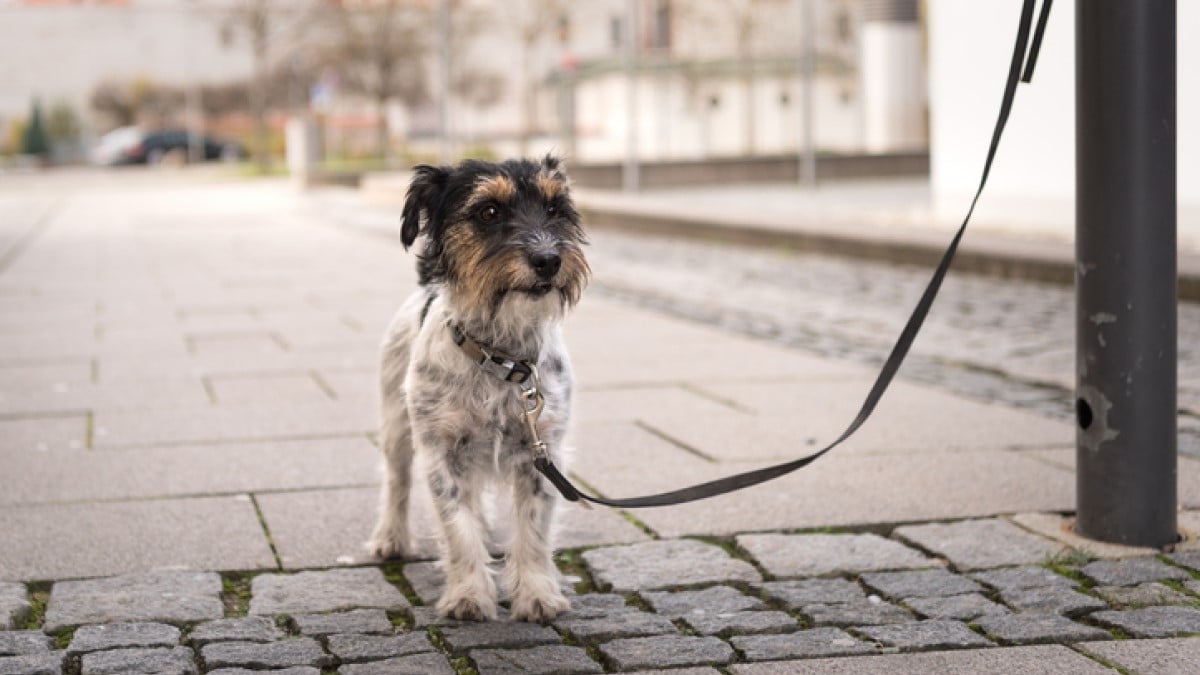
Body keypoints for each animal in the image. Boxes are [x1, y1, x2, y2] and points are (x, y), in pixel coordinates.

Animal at [367, 153, 588, 619]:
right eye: (488, 211)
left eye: (555, 208)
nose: (548, 259)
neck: (500, 357)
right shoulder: (441, 453)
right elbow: (458, 527)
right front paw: (468, 595)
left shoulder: (543, 454)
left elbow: (533, 530)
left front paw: (536, 594)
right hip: (396, 425)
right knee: (396, 482)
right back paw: (390, 538)